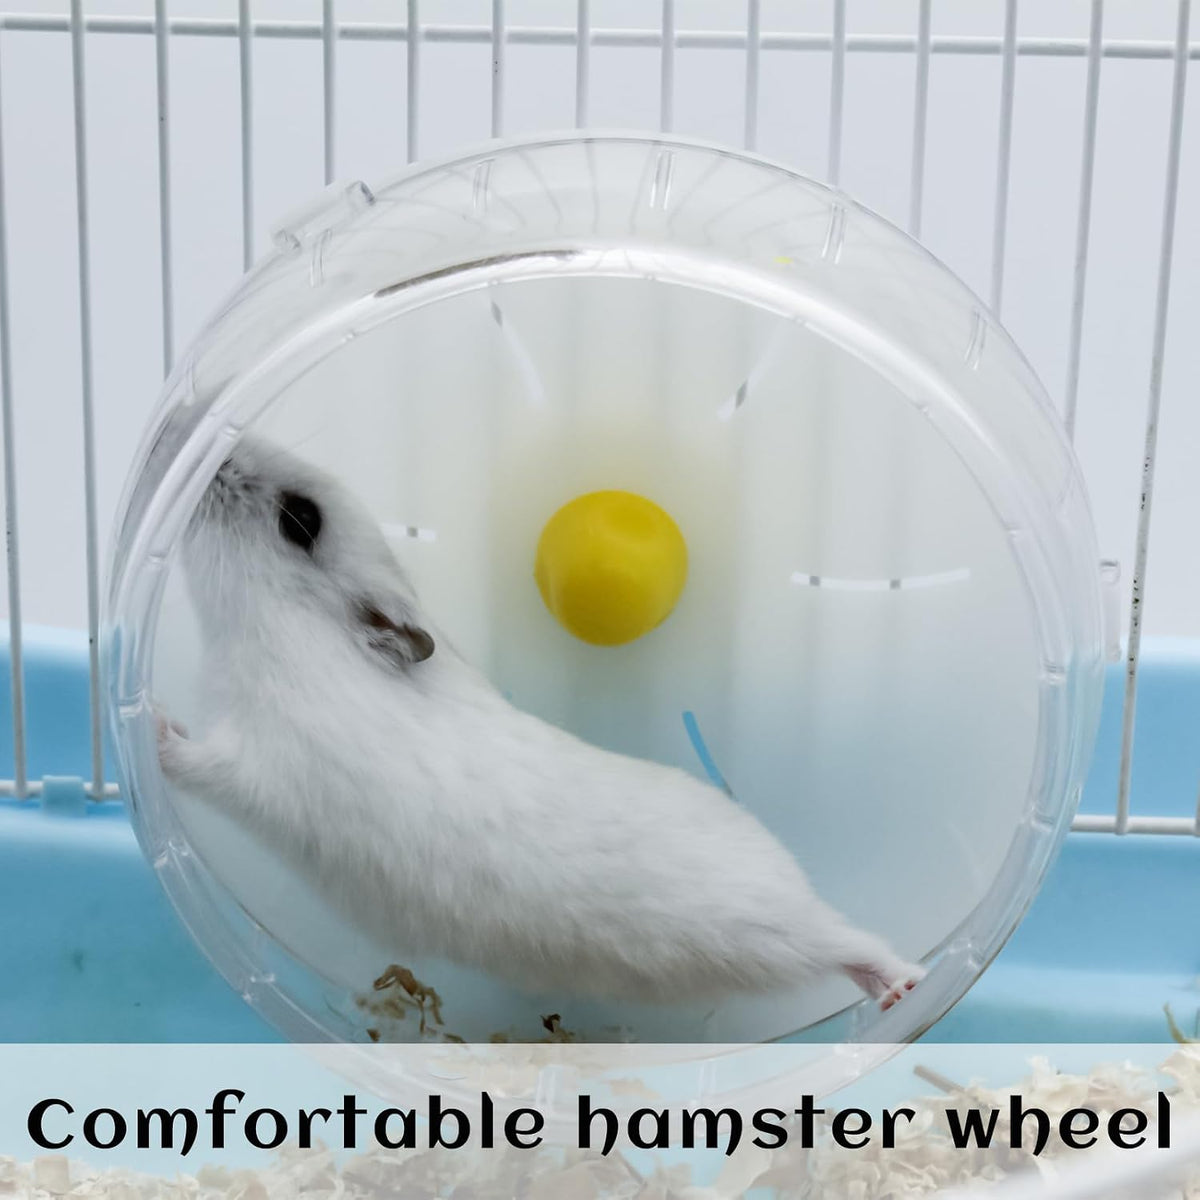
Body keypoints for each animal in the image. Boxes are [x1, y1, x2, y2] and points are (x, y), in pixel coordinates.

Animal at [157, 435, 924, 1011]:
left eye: (300, 519)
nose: (212, 444)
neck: (290, 636)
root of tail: (795, 878)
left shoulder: (259, 762)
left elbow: (198, 764)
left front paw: (154, 725)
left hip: (767, 934)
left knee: (853, 944)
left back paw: (903, 988)